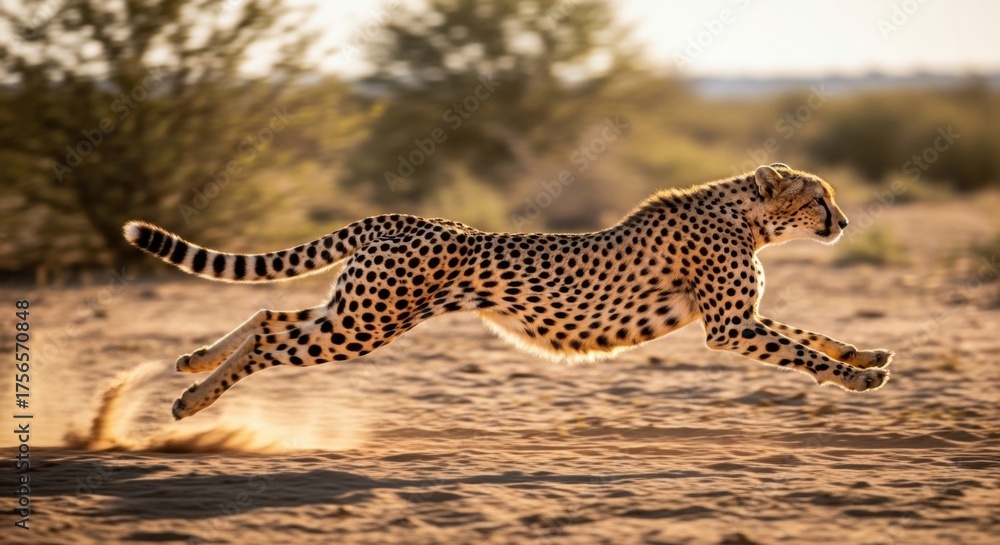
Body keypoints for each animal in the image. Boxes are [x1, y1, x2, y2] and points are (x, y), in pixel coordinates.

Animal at [124, 163, 892, 420]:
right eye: (818, 198)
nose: (844, 221)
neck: (747, 217)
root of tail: (406, 217)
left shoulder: (741, 319)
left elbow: (812, 335)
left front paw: (868, 357)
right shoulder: (729, 326)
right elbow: (801, 349)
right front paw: (857, 380)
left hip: (356, 309)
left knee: (266, 314)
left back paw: (193, 363)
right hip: (365, 323)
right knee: (270, 339)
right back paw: (192, 400)